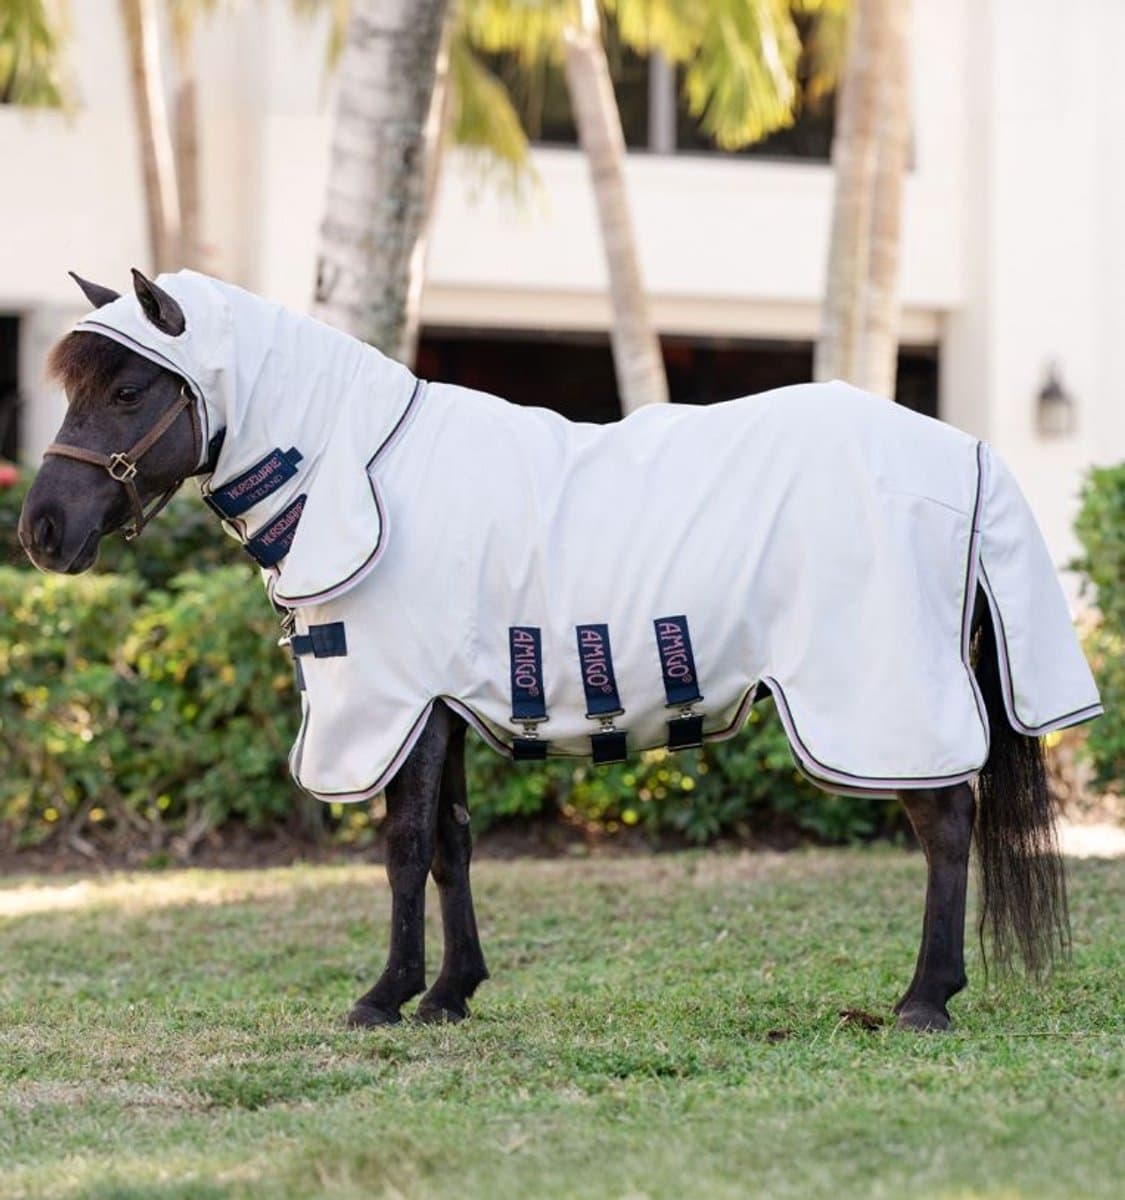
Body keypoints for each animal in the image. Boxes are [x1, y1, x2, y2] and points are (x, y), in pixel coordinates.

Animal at [19, 268, 1101, 1032]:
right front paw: (451, 992)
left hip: (878, 697)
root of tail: (960, 450)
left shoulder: (400, 702)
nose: (40, 532)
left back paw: (925, 997)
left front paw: (384, 996)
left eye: (127, 390)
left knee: (945, 825)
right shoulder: (442, 704)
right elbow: (451, 844)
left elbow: (404, 848)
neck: (359, 475)